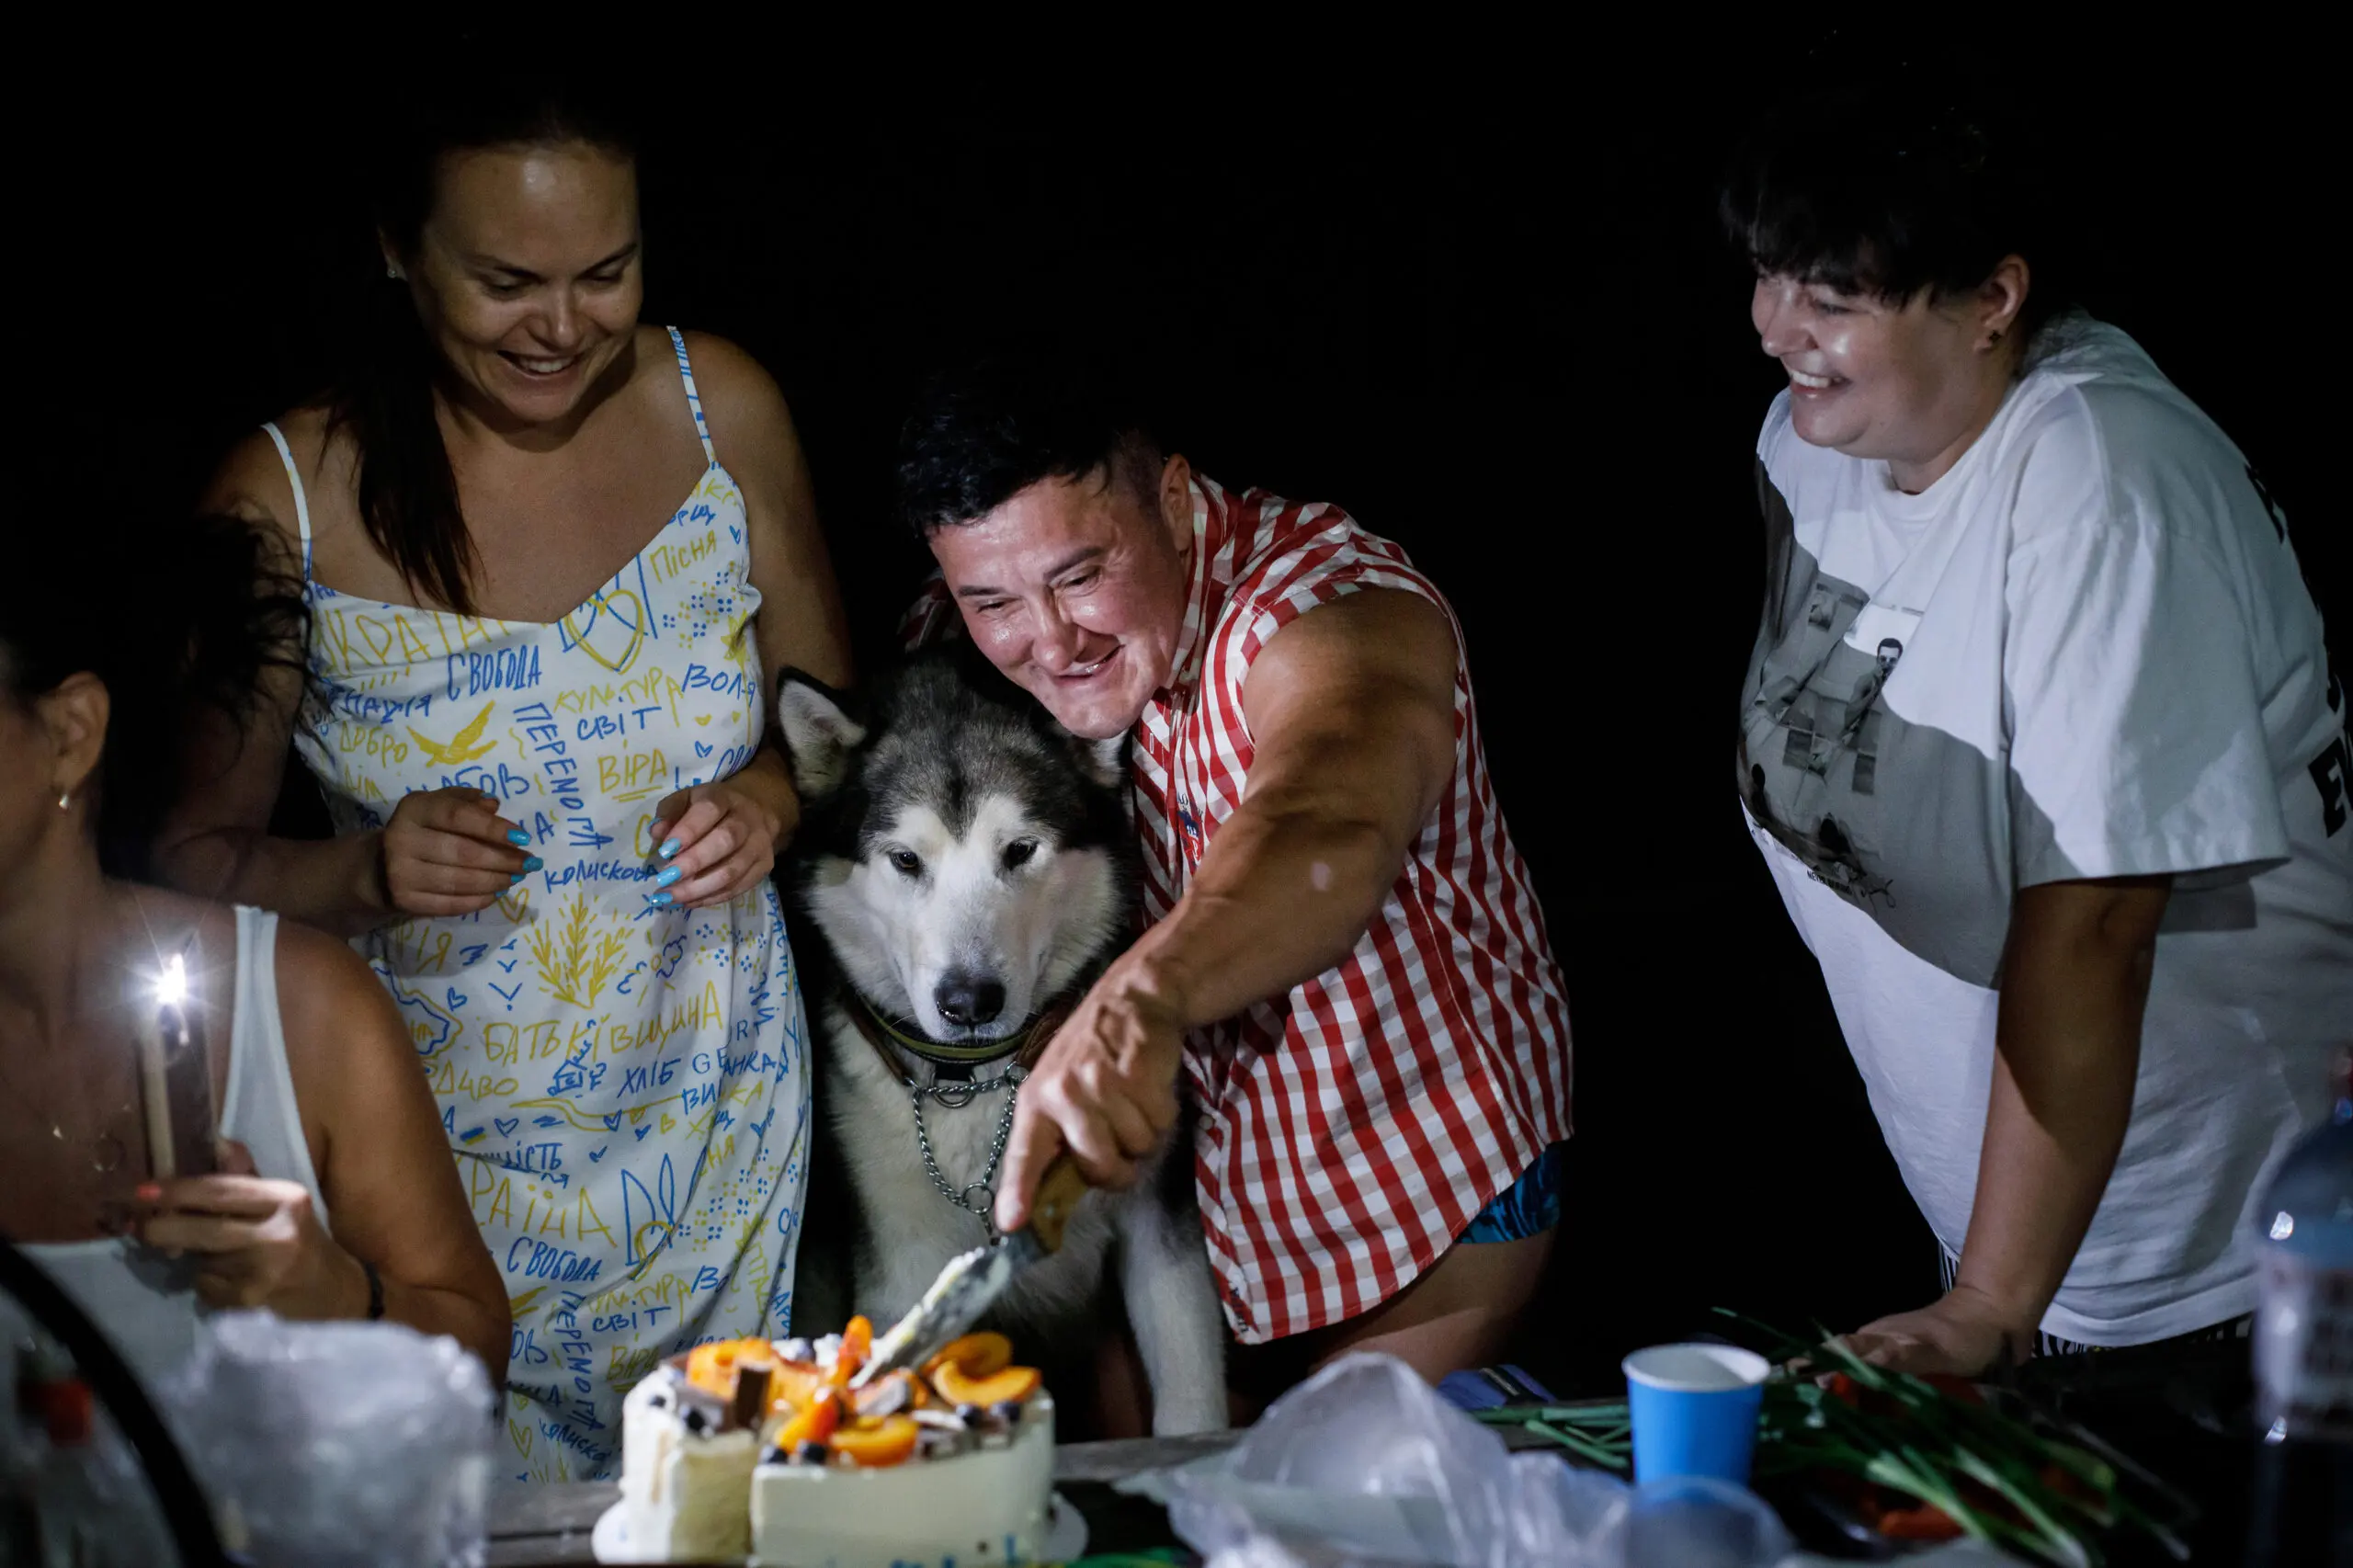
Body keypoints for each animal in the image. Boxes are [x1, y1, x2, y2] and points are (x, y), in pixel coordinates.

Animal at [780, 644, 1233, 1431]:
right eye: (906, 860)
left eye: (1021, 850)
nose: (968, 1001)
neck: (977, 1082)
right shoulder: (901, 1262)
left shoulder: (1159, 1225)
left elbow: (1190, 1388)